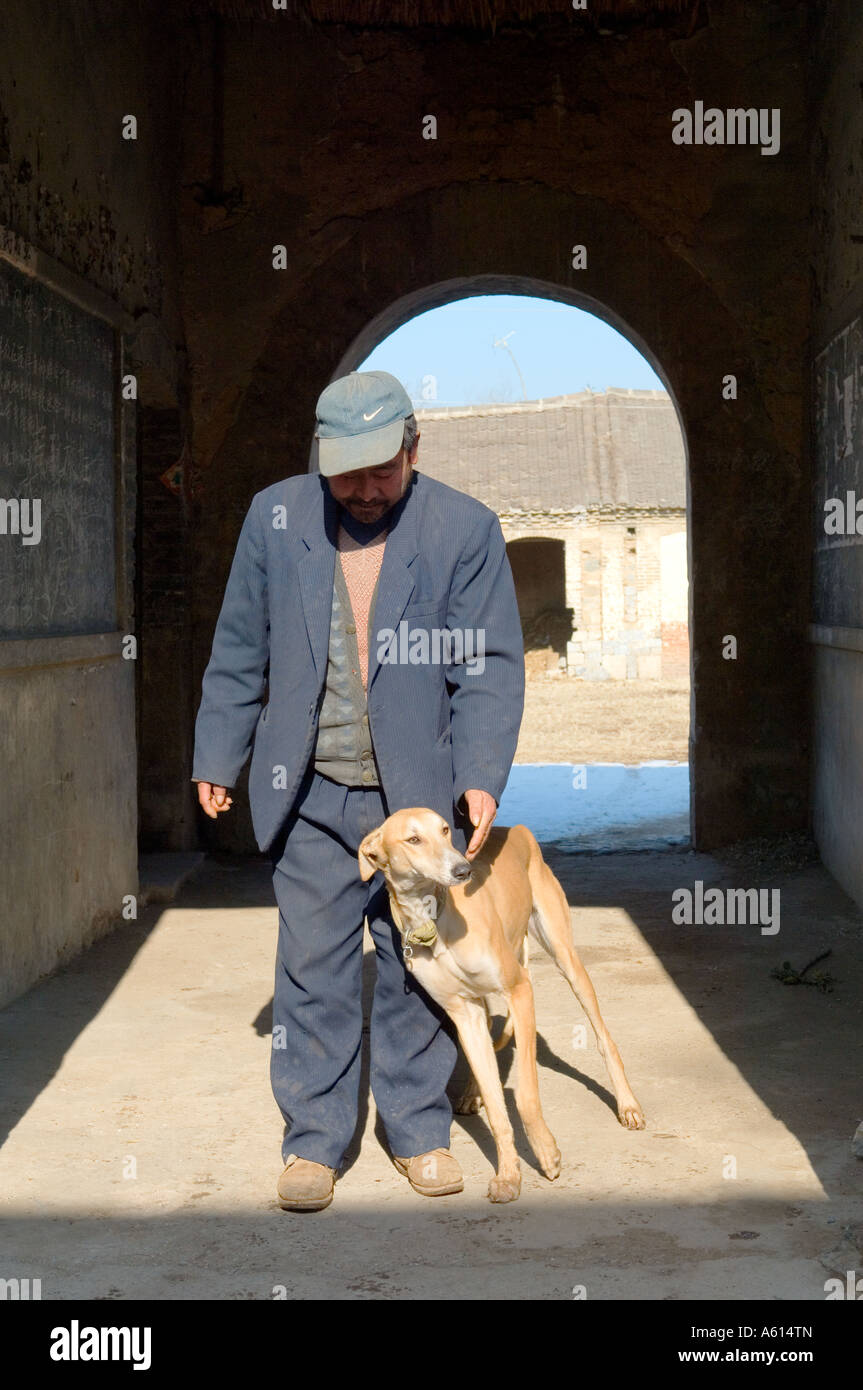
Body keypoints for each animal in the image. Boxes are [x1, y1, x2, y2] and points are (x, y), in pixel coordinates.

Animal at [358, 811, 644, 1200]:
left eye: (445, 830)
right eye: (413, 840)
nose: (463, 870)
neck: (432, 919)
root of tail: (515, 829)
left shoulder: (520, 991)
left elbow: (524, 1095)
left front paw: (546, 1152)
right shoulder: (464, 1014)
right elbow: (496, 1108)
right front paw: (509, 1174)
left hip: (564, 955)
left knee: (603, 1036)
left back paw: (627, 1104)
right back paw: (471, 1093)